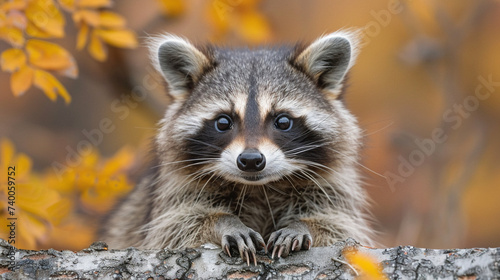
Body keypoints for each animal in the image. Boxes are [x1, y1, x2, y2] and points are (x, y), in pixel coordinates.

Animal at [100, 30, 372, 264]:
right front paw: (224, 222)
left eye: (283, 121)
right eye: (223, 122)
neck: (260, 188)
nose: (251, 160)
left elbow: (339, 226)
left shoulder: (331, 188)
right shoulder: (174, 191)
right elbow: (175, 227)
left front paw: (302, 225)